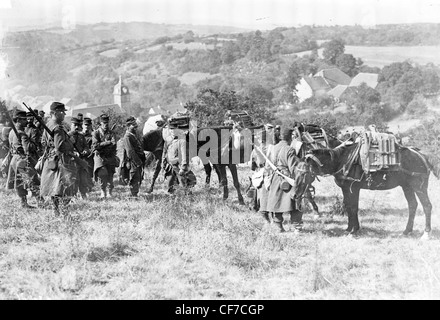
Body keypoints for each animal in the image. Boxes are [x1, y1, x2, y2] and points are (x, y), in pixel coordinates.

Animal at [300, 141, 440, 239]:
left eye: (306, 166)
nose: (301, 184)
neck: (343, 160)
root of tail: (421, 155)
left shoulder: (353, 188)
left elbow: (353, 207)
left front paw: (353, 230)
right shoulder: (346, 189)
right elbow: (348, 206)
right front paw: (350, 228)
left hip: (419, 186)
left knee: (427, 206)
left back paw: (426, 234)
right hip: (407, 186)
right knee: (412, 205)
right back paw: (406, 231)